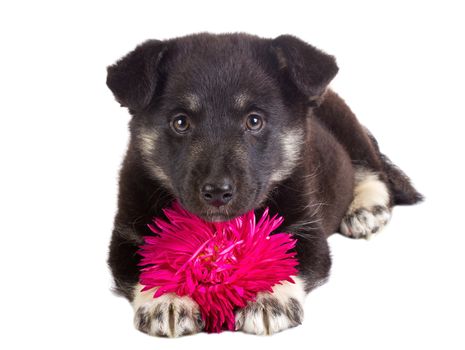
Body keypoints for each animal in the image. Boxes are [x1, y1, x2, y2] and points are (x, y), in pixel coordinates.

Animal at [105, 32, 420, 336]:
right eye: (180, 122)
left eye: (254, 121)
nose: (217, 193)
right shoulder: (127, 235)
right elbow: (148, 264)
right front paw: (168, 299)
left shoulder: (306, 228)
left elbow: (283, 257)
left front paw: (269, 300)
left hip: (350, 128)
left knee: (375, 171)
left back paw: (364, 211)